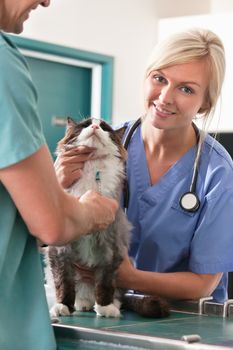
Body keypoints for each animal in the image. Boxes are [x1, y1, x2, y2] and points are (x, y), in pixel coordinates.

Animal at [45, 116, 169, 318]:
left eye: (104, 128)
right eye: (86, 125)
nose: (95, 126)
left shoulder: (111, 248)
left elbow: (105, 283)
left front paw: (105, 307)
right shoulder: (61, 250)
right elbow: (64, 282)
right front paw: (62, 306)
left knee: (115, 294)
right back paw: (82, 304)